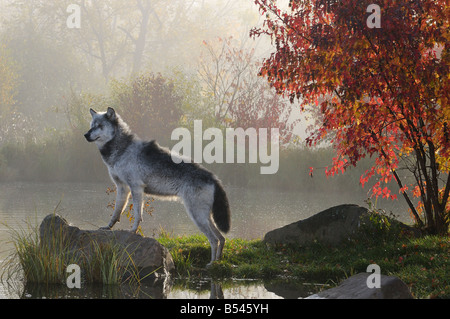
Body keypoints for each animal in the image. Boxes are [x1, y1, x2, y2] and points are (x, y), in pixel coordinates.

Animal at [85, 107, 232, 264]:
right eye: (91, 125)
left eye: (99, 126)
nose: (86, 135)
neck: (122, 149)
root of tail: (214, 178)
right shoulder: (122, 188)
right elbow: (116, 212)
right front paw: (108, 227)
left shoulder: (136, 188)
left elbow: (137, 214)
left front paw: (133, 231)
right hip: (205, 217)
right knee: (222, 238)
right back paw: (218, 262)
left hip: (197, 216)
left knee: (214, 240)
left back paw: (211, 264)